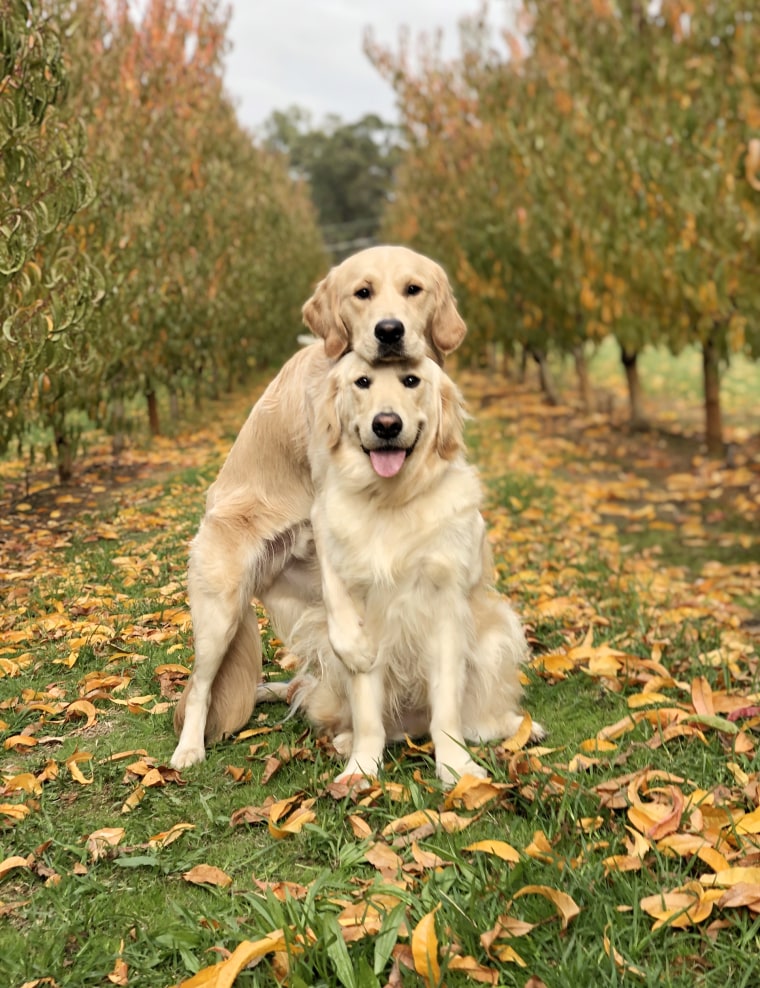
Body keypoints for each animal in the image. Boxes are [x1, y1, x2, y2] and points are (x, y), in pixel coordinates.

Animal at [171, 243, 470, 768]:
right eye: (362, 292)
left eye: (413, 289)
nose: (389, 330)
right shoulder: (328, 502)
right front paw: (358, 651)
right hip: (218, 616)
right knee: (202, 688)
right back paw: (189, 749)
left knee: (303, 678)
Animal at [288, 352, 544, 784]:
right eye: (362, 381)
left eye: (411, 380)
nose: (387, 424)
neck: (392, 500)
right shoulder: (360, 605)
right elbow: (367, 709)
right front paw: (361, 767)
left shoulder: (445, 607)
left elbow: (448, 711)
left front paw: (456, 767)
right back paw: (346, 741)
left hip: (495, 639)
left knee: (477, 719)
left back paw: (516, 727)